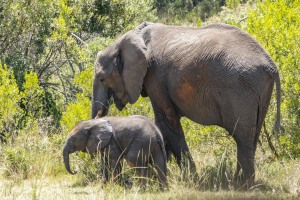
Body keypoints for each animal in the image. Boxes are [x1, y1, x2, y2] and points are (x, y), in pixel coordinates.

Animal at [92, 22, 282, 188]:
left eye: (102, 78)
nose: (105, 182)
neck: (129, 37)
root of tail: (271, 65)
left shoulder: (154, 76)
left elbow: (166, 122)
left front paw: (191, 180)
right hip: (258, 90)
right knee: (252, 134)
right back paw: (240, 183)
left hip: (240, 90)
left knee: (242, 137)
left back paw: (242, 186)